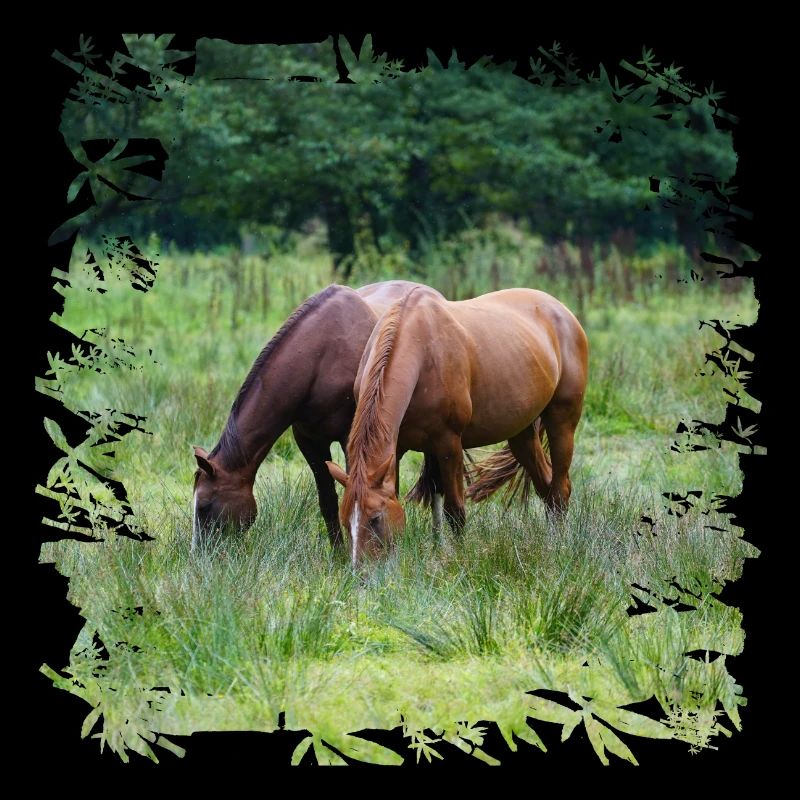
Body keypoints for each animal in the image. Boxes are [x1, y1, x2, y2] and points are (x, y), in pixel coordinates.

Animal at [191, 280, 445, 552]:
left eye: (204, 507)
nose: (199, 556)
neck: (321, 358)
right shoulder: (309, 441)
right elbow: (328, 501)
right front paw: (338, 555)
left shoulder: (350, 441)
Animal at [325, 286, 589, 565]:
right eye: (346, 522)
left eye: (375, 519)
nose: (360, 571)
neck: (421, 350)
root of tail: (563, 312)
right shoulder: (398, 447)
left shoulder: (448, 443)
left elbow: (455, 509)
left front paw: (458, 556)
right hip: (522, 433)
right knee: (545, 484)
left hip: (562, 421)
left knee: (560, 489)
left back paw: (558, 546)